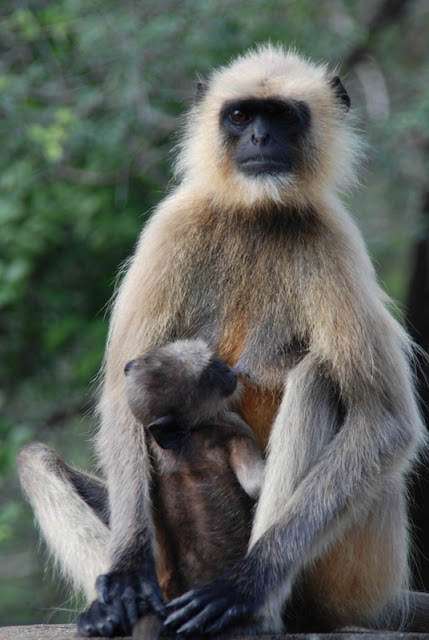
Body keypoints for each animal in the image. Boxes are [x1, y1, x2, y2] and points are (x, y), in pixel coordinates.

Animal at [123, 338, 264, 636]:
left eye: (214, 363)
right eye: (210, 375)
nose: (226, 369)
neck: (185, 437)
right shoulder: (229, 427)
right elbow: (255, 484)